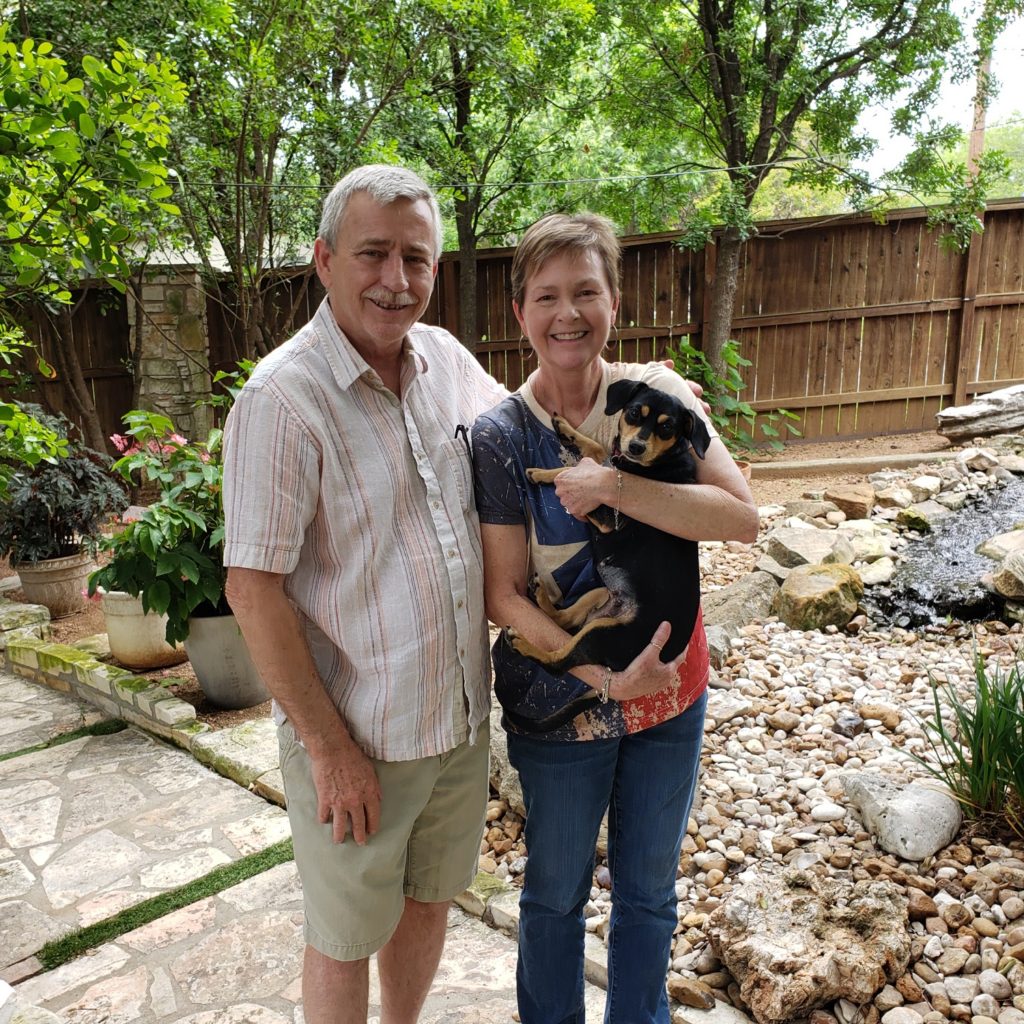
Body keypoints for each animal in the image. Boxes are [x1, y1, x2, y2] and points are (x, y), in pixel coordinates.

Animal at [501, 378, 711, 732]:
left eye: (667, 427)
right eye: (633, 413)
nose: (636, 447)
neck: (655, 464)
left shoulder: (607, 518)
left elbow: (582, 472)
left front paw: (552, 474)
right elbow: (597, 455)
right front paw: (564, 432)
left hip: (603, 633)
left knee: (560, 661)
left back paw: (525, 644)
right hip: (600, 595)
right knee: (564, 620)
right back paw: (542, 596)